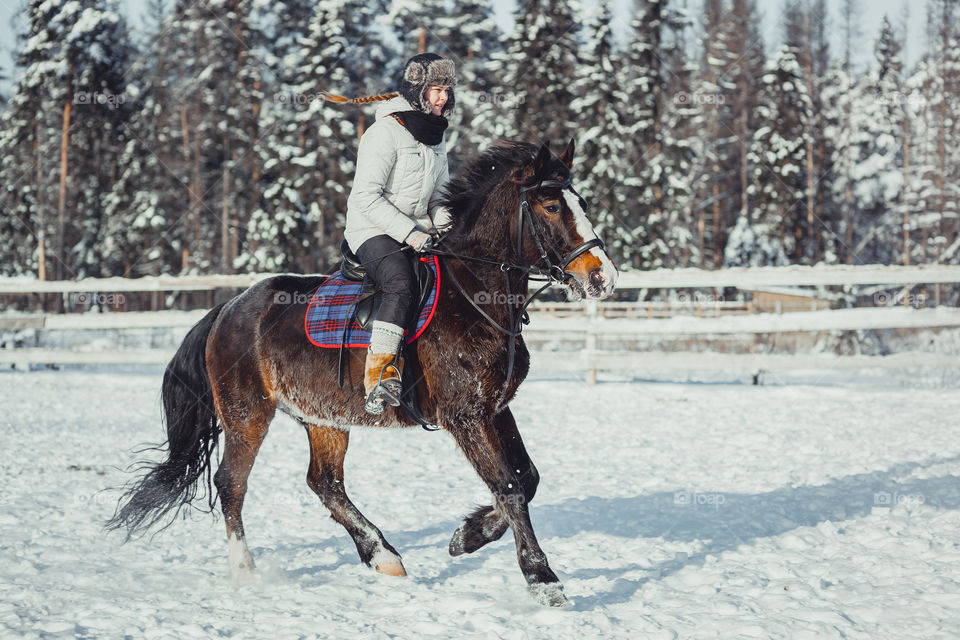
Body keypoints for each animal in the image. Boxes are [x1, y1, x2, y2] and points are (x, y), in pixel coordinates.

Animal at [110, 139, 624, 604]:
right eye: (553, 205)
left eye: (581, 203)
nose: (603, 277)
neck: (472, 296)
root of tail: (229, 308)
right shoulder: (465, 417)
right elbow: (510, 487)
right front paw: (542, 580)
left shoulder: (495, 409)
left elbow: (528, 478)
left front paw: (466, 536)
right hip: (247, 414)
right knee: (231, 484)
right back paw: (245, 571)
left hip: (323, 418)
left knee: (324, 483)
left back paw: (383, 556)